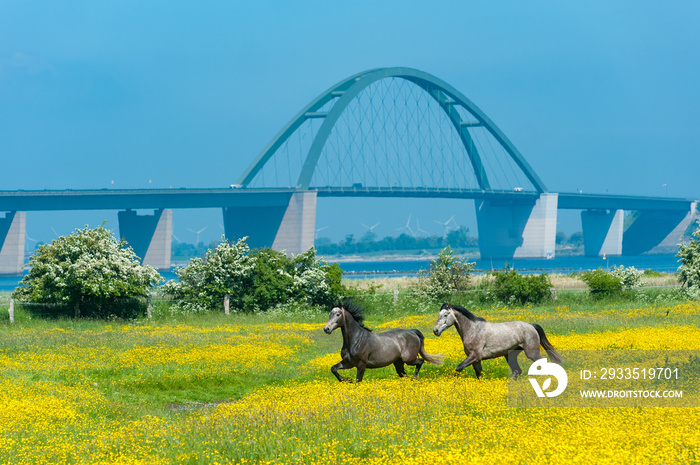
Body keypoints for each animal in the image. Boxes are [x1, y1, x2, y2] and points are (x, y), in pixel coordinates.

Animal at [432, 302, 564, 378]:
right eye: (438, 315)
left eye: (445, 315)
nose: (435, 331)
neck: (473, 330)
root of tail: (531, 326)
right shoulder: (475, 360)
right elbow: (479, 376)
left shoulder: (474, 356)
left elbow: (458, 368)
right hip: (510, 355)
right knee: (516, 371)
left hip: (532, 353)